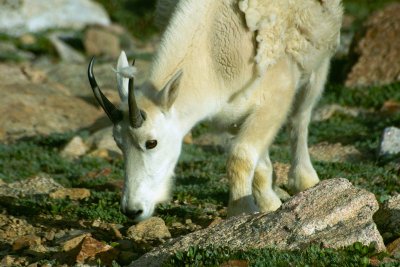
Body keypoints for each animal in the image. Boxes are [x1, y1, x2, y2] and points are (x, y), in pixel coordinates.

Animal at [88, 0, 344, 222]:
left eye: (152, 142)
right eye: (118, 143)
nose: (132, 210)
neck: (214, 56)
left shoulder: (276, 97)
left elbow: (240, 157)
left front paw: (242, 211)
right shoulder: (231, 116)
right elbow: (258, 163)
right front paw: (270, 206)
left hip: (317, 63)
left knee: (300, 118)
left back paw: (305, 179)